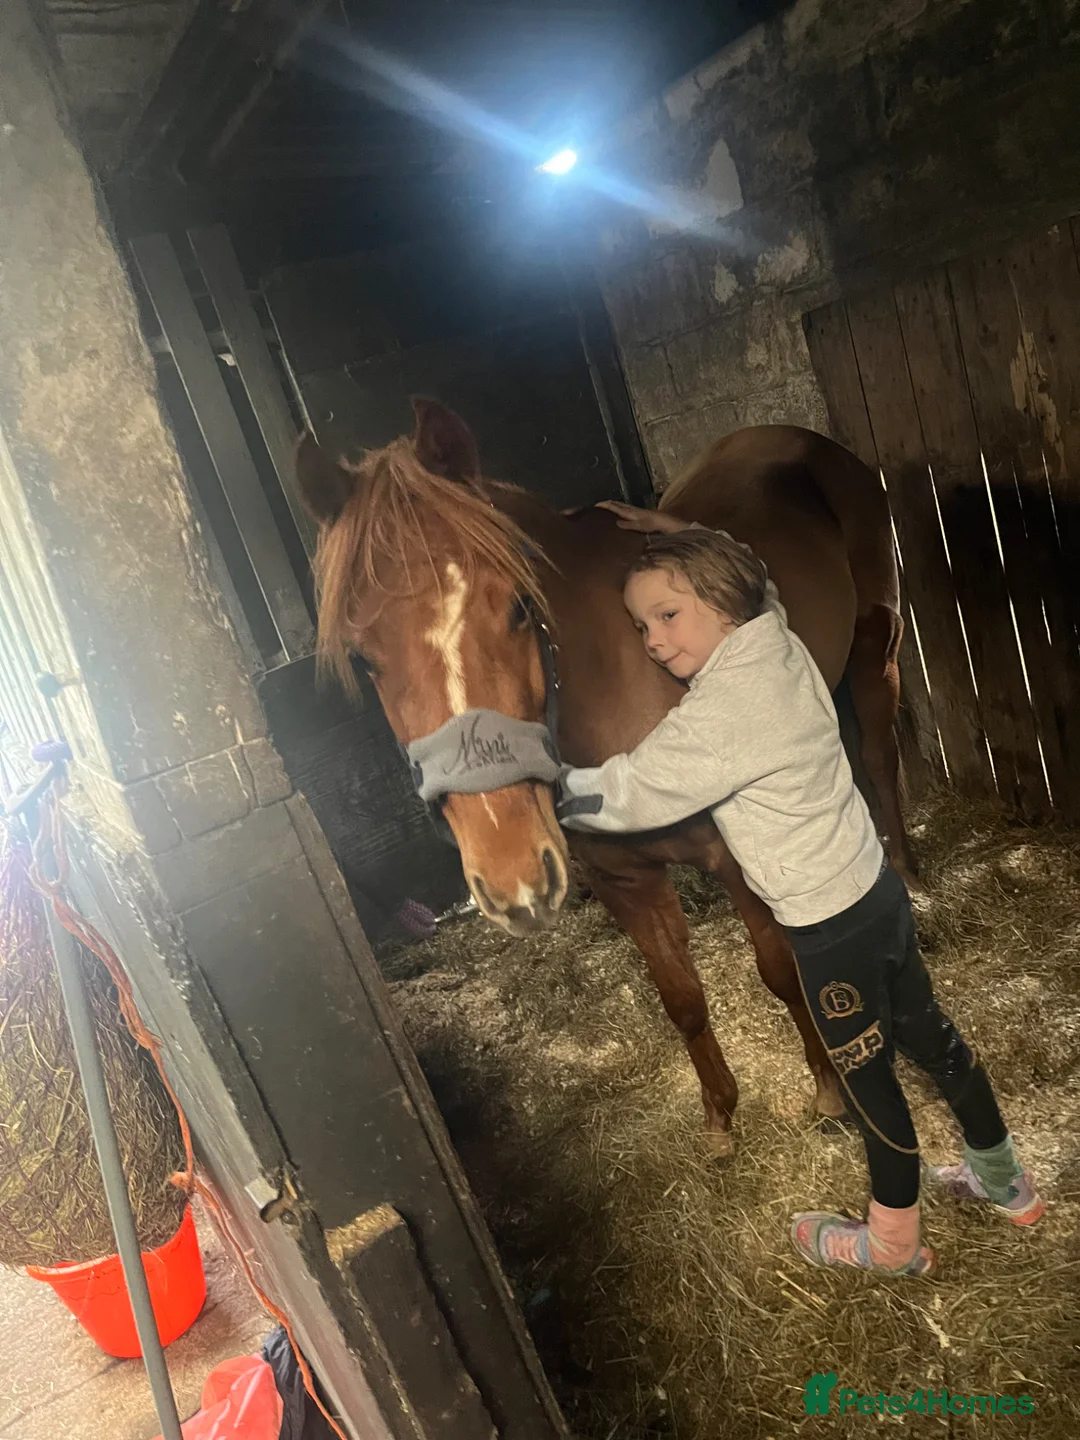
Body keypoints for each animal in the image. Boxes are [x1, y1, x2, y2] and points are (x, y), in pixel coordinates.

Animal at [295, 398, 917, 1154]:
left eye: (518, 607)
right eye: (365, 658)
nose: (510, 878)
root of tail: (795, 439)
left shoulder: (736, 859)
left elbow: (779, 973)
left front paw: (828, 1090)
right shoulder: (624, 882)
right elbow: (681, 998)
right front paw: (719, 1117)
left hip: (876, 647)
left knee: (880, 759)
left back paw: (909, 878)